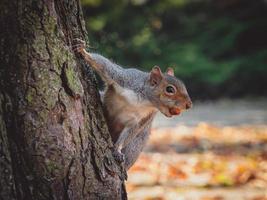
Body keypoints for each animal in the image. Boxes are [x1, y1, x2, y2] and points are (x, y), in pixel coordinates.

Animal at [72, 38, 192, 172]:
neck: (143, 100)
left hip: (136, 144)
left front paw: (117, 149)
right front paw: (83, 51)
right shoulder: (124, 79)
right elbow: (106, 65)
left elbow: (131, 132)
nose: (189, 105)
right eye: (170, 89)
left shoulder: (143, 118)